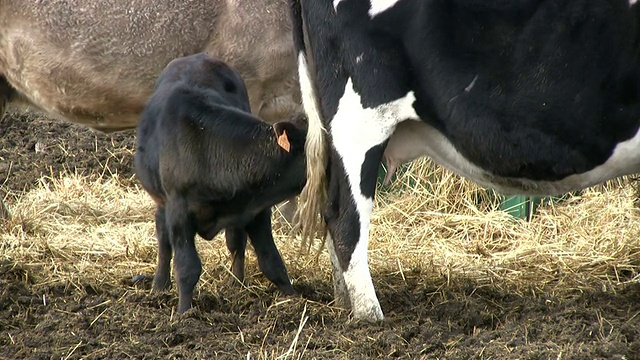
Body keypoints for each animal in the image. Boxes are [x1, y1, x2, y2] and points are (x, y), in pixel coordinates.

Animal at [134, 52, 306, 312]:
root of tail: (198, 57)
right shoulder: (179, 211)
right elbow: (187, 267)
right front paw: (184, 313)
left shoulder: (256, 209)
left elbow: (271, 260)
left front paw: (294, 300)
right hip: (162, 202)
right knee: (163, 240)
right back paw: (159, 286)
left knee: (235, 242)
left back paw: (237, 284)